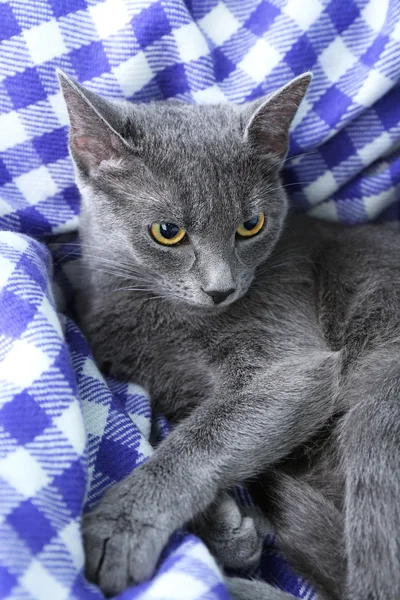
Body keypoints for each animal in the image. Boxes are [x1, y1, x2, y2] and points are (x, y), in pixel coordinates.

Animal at [57, 71, 400, 600]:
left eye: (251, 225)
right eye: (168, 231)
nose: (221, 289)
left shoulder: (289, 364)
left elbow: (200, 440)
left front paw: (120, 525)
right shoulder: (163, 384)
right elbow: (185, 427)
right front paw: (224, 528)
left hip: (379, 407)